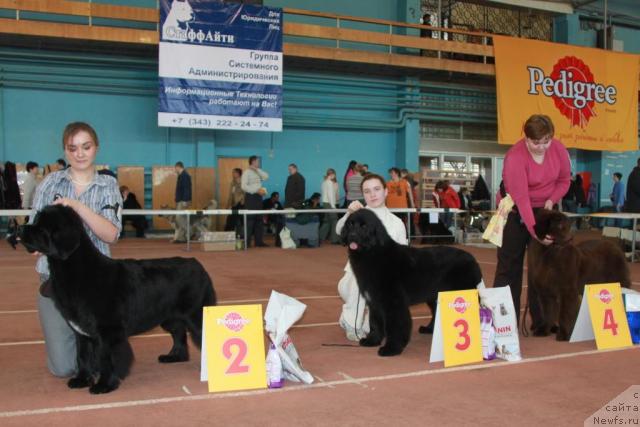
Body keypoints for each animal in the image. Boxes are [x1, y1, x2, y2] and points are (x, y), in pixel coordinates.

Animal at [13, 205, 215, 394]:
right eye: (35, 220)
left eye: (42, 227)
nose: (20, 228)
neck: (76, 270)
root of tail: (197, 264)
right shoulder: (81, 332)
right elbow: (82, 356)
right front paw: (81, 380)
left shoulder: (108, 331)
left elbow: (106, 358)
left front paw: (104, 385)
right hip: (170, 317)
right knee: (179, 333)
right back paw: (174, 357)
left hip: (197, 315)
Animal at [342, 210, 482, 358]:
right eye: (350, 224)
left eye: (364, 226)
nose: (352, 235)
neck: (374, 252)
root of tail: (473, 260)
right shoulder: (374, 301)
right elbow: (375, 323)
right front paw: (372, 340)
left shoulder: (394, 302)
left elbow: (395, 325)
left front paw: (392, 348)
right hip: (435, 296)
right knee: (436, 312)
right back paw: (429, 329)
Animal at [528, 209, 632, 342]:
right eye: (559, 225)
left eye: (567, 225)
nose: (571, 237)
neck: (549, 254)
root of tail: (616, 246)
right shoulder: (545, 292)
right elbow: (548, 312)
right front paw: (544, 330)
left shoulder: (567, 291)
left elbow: (565, 313)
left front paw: (564, 334)